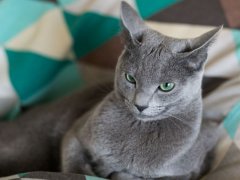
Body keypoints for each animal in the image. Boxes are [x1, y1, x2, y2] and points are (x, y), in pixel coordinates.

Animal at [62, 1, 223, 180]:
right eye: (130, 78)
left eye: (166, 86)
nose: (140, 105)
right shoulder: (75, 132)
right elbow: (74, 166)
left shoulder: (193, 168)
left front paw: (114, 171)